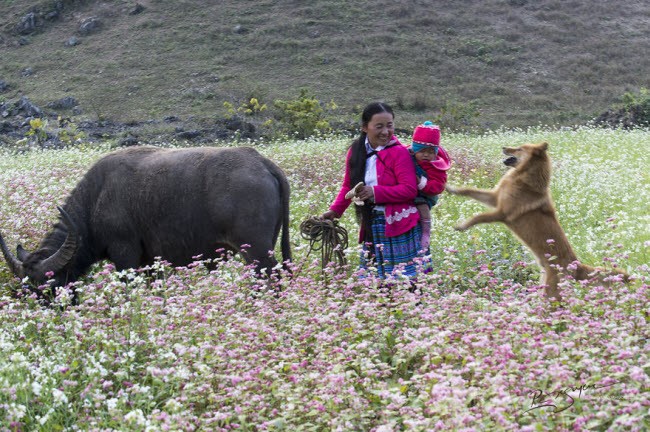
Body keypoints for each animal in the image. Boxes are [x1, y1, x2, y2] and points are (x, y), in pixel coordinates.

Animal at [0, 147, 290, 296]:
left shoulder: (125, 255)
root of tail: (262, 162)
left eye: (49, 287)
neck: (97, 195)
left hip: (256, 251)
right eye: (24, 290)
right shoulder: (150, 263)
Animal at [448, 142, 624, 300]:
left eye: (519, 148)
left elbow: (478, 217)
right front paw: (452, 188)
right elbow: (469, 190)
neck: (522, 177)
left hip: (551, 294)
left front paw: (462, 226)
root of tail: (577, 266)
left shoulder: (502, 213)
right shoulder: (494, 198)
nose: (503, 147)